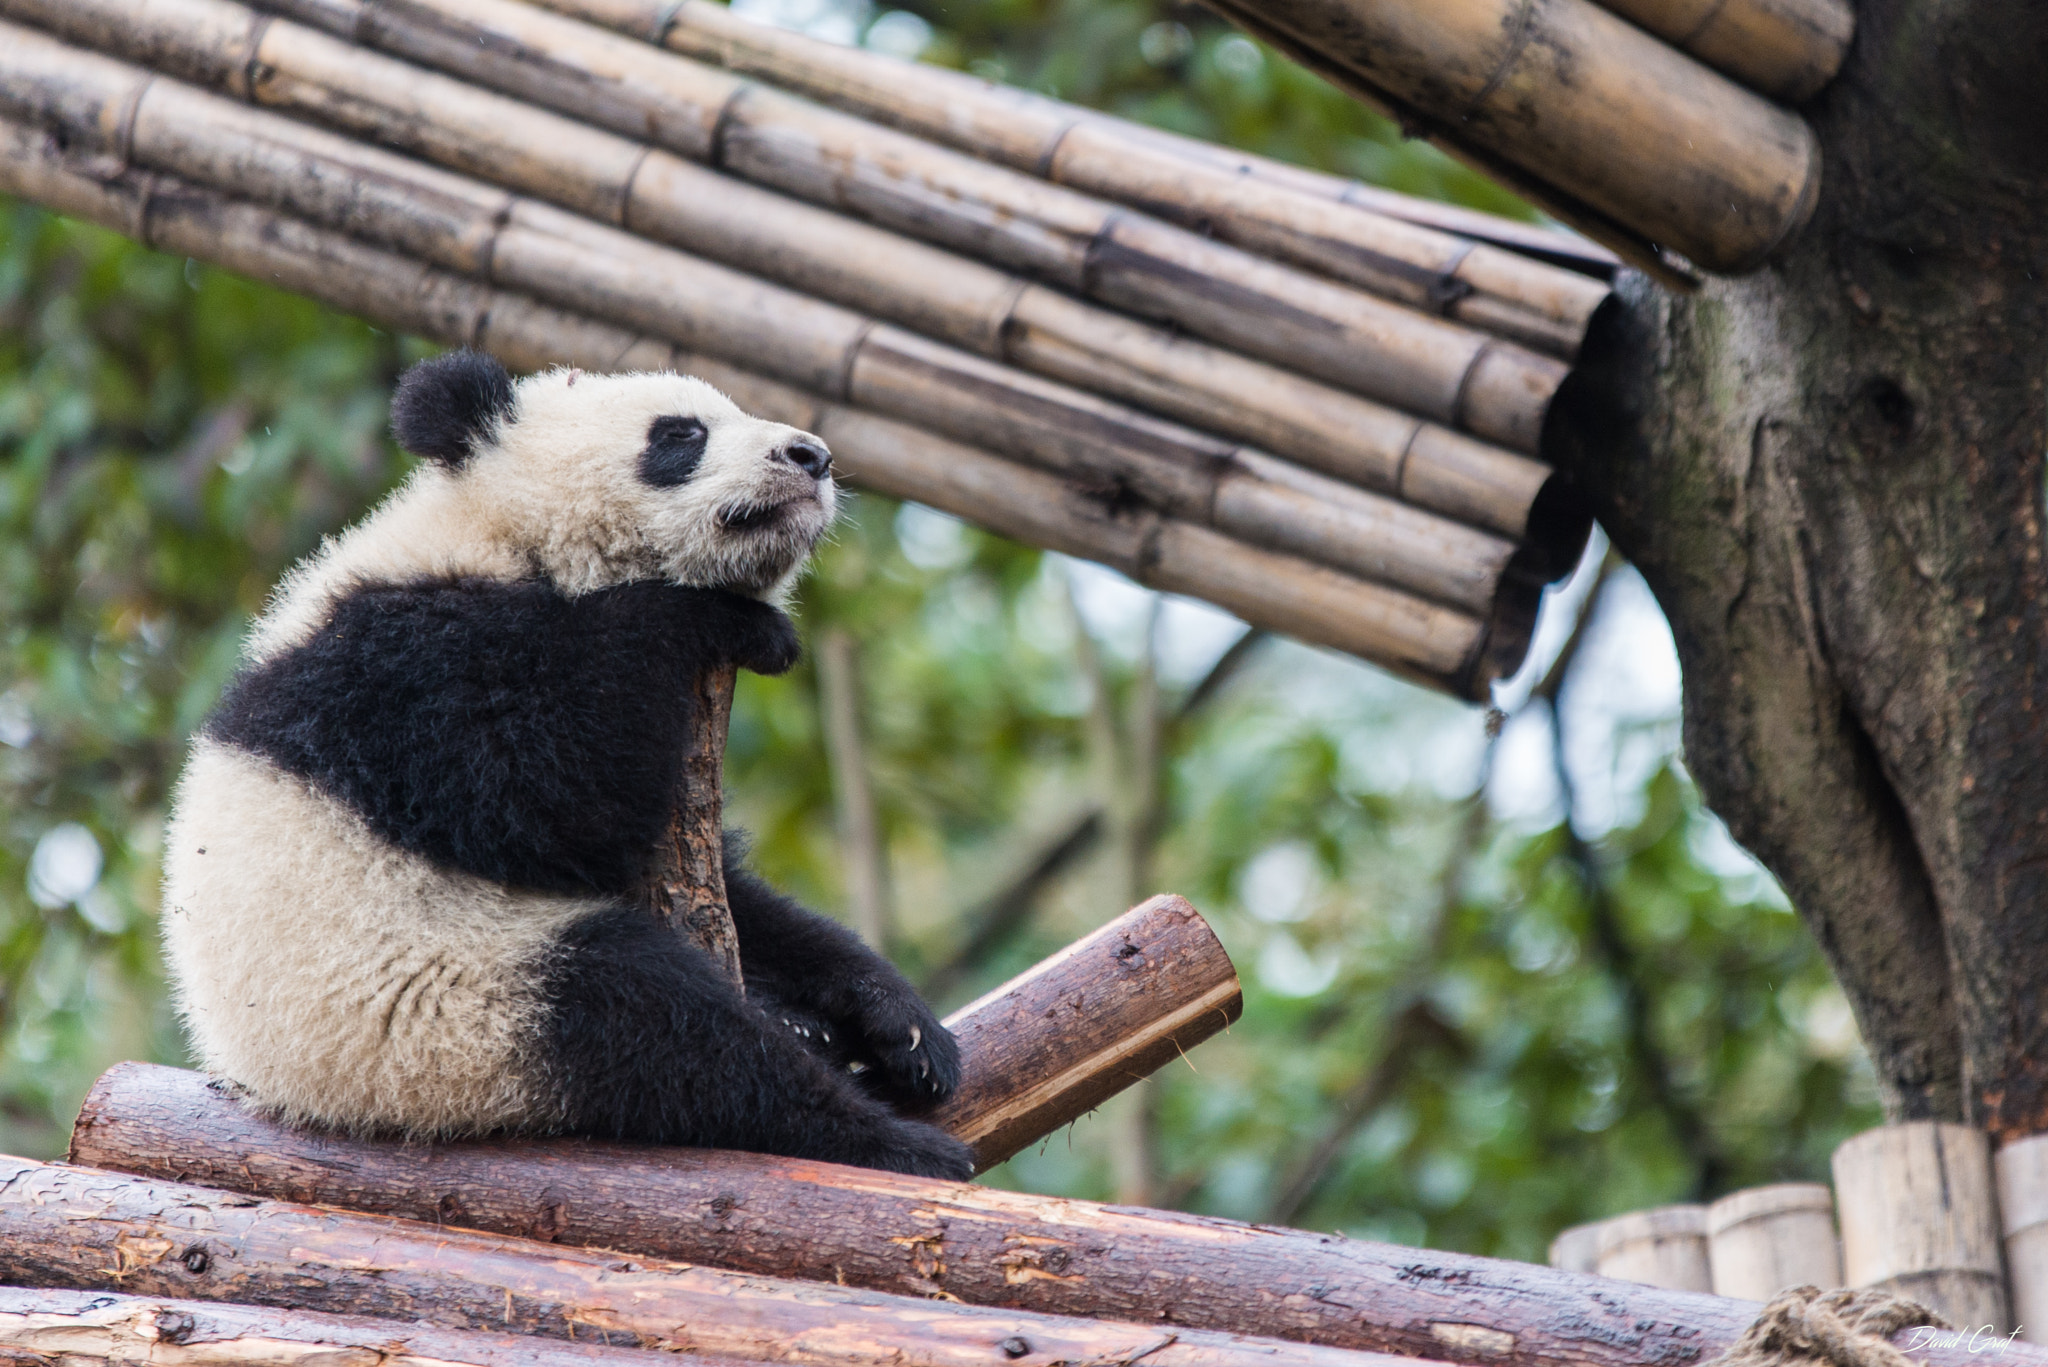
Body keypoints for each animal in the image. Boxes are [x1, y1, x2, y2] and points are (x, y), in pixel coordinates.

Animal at [159, 356, 974, 1188]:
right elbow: (548, 799)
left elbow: (748, 897)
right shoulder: (397, 665)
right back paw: (885, 1141)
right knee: (655, 1024)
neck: (500, 535)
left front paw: (903, 1024)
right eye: (680, 434)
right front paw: (732, 622)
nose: (813, 456)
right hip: (445, 1016)